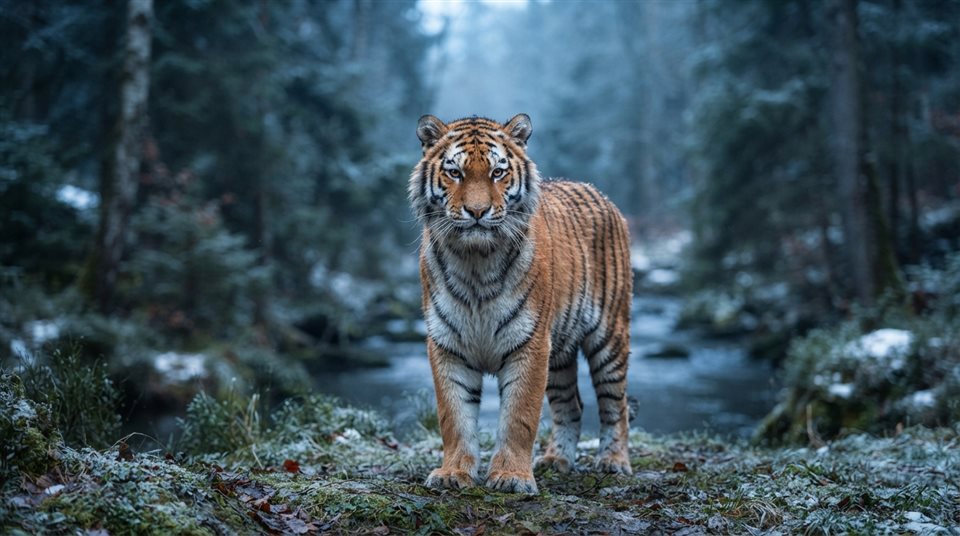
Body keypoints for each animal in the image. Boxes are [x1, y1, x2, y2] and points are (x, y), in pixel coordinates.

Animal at [409, 113, 633, 494]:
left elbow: (519, 416)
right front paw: (453, 473)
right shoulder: (447, 344)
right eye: (455, 172)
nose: (477, 211)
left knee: (615, 405)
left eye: (498, 172)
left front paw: (511, 478)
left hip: (609, 337)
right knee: (571, 405)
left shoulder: (530, 343)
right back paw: (556, 460)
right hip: (559, 354)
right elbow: (454, 416)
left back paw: (614, 462)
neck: (475, 262)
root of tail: (600, 194)